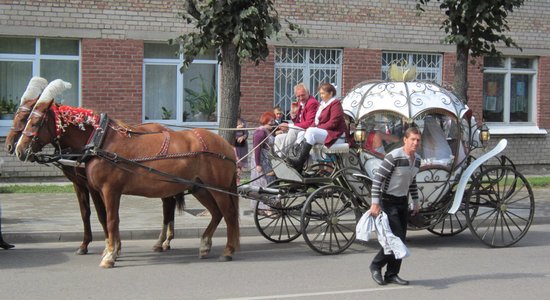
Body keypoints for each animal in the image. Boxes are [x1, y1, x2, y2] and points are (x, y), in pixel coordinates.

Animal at [5, 78, 184, 254]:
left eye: (32, 122)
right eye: (19, 117)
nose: (15, 149)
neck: (93, 140)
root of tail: (167, 129)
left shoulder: (94, 186)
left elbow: (101, 214)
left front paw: (111, 245)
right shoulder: (79, 184)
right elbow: (86, 213)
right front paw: (88, 244)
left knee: (167, 207)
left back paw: (163, 240)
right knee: (168, 206)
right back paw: (164, 241)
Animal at [16, 95, 240, 268]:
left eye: (34, 123)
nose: (18, 149)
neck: (100, 142)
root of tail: (226, 145)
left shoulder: (110, 190)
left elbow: (111, 220)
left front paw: (110, 255)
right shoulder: (98, 190)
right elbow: (105, 218)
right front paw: (111, 249)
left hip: (217, 188)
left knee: (228, 214)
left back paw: (228, 251)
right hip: (199, 188)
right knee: (216, 213)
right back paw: (204, 245)